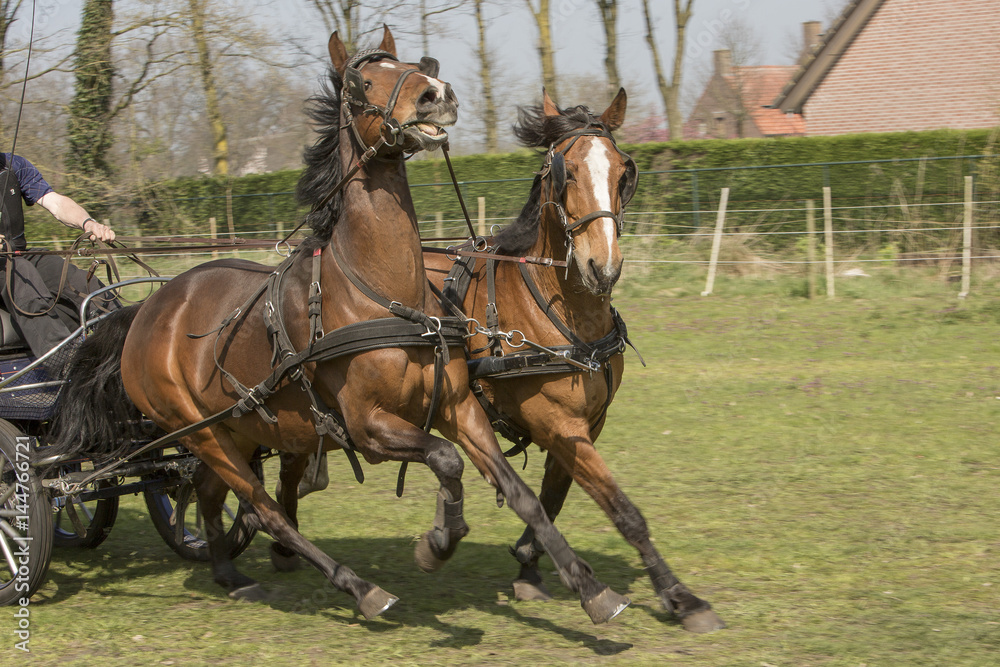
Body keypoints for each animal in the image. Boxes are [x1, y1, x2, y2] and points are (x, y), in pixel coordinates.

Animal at [50, 28, 628, 628]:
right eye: (362, 82)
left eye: (624, 172)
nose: (436, 94)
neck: (383, 297)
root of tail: (143, 311)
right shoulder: (368, 426)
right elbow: (446, 461)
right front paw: (438, 541)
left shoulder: (460, 408)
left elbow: (520, 494)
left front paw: (588, 587)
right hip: (197, 430)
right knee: (261, 507)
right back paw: (357, 586)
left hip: (236, 427)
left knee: (209, 493)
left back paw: (228, 571)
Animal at [422, 91, 728, 636]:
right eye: (566, 172)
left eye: (624, 171)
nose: (601, 267)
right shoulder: (559, 423)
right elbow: (624, 511)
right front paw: (680, 596)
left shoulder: (587, 423)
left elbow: (553, 496)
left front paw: (528, 564)